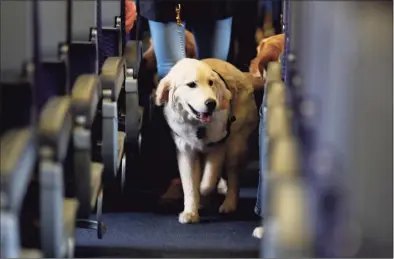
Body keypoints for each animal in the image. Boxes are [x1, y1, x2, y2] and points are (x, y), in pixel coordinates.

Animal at [154, 58, 258, 223]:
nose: (211, 103)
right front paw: (190, 212)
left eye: (211, 83)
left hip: (235, 145)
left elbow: (208, 181)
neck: (198, 125)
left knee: (234, 178)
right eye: (191, 84)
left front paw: (204, 192)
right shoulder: (186, 152)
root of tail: (240, 73)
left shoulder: (218, 146)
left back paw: (229, 204)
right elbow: (190, 185)